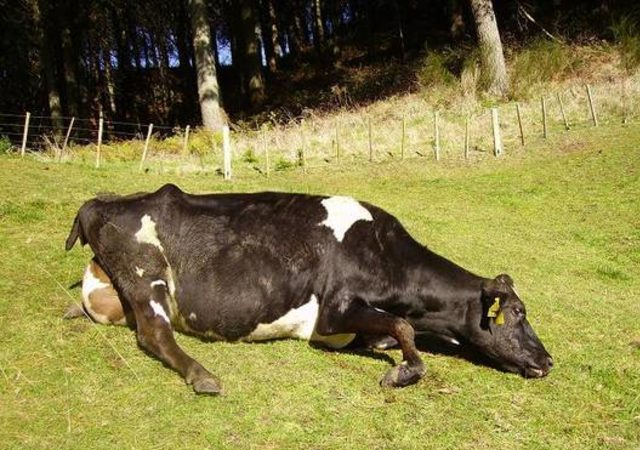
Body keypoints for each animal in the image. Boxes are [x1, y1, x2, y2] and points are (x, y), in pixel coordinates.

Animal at [66, 184, 556, 394]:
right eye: (517, 314)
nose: (548, 360)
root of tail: (101, 201)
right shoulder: (334, 312)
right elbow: (401, 327)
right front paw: (401, 372)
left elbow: (395, 329)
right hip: (147, 274)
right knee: (154, 333)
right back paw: (202, 376)